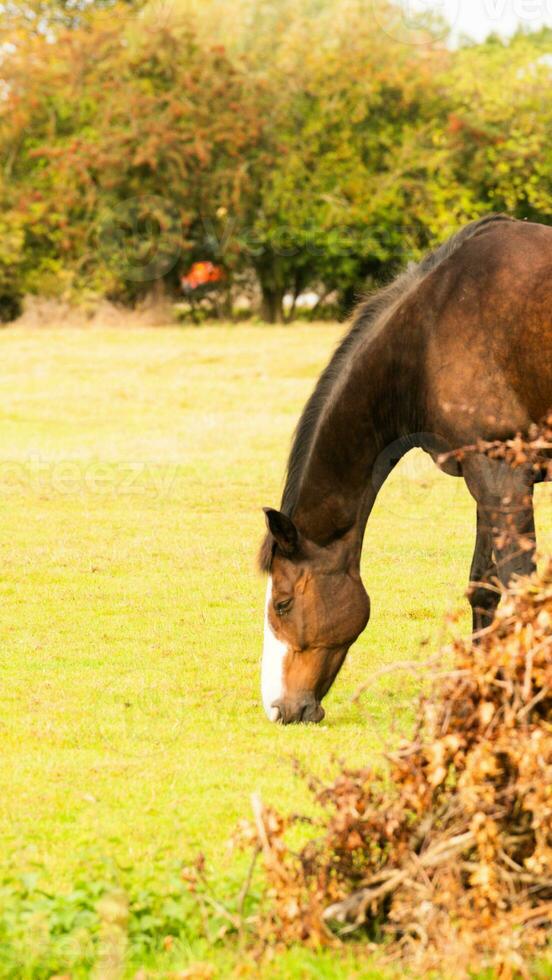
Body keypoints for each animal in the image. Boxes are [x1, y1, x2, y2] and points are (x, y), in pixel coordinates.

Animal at [258, 214, 552, 724]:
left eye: (283, 602)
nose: (277, 708)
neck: (431, 328)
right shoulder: (485, 474)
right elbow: (484, 588)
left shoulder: (502, 475)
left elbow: (518, 587)